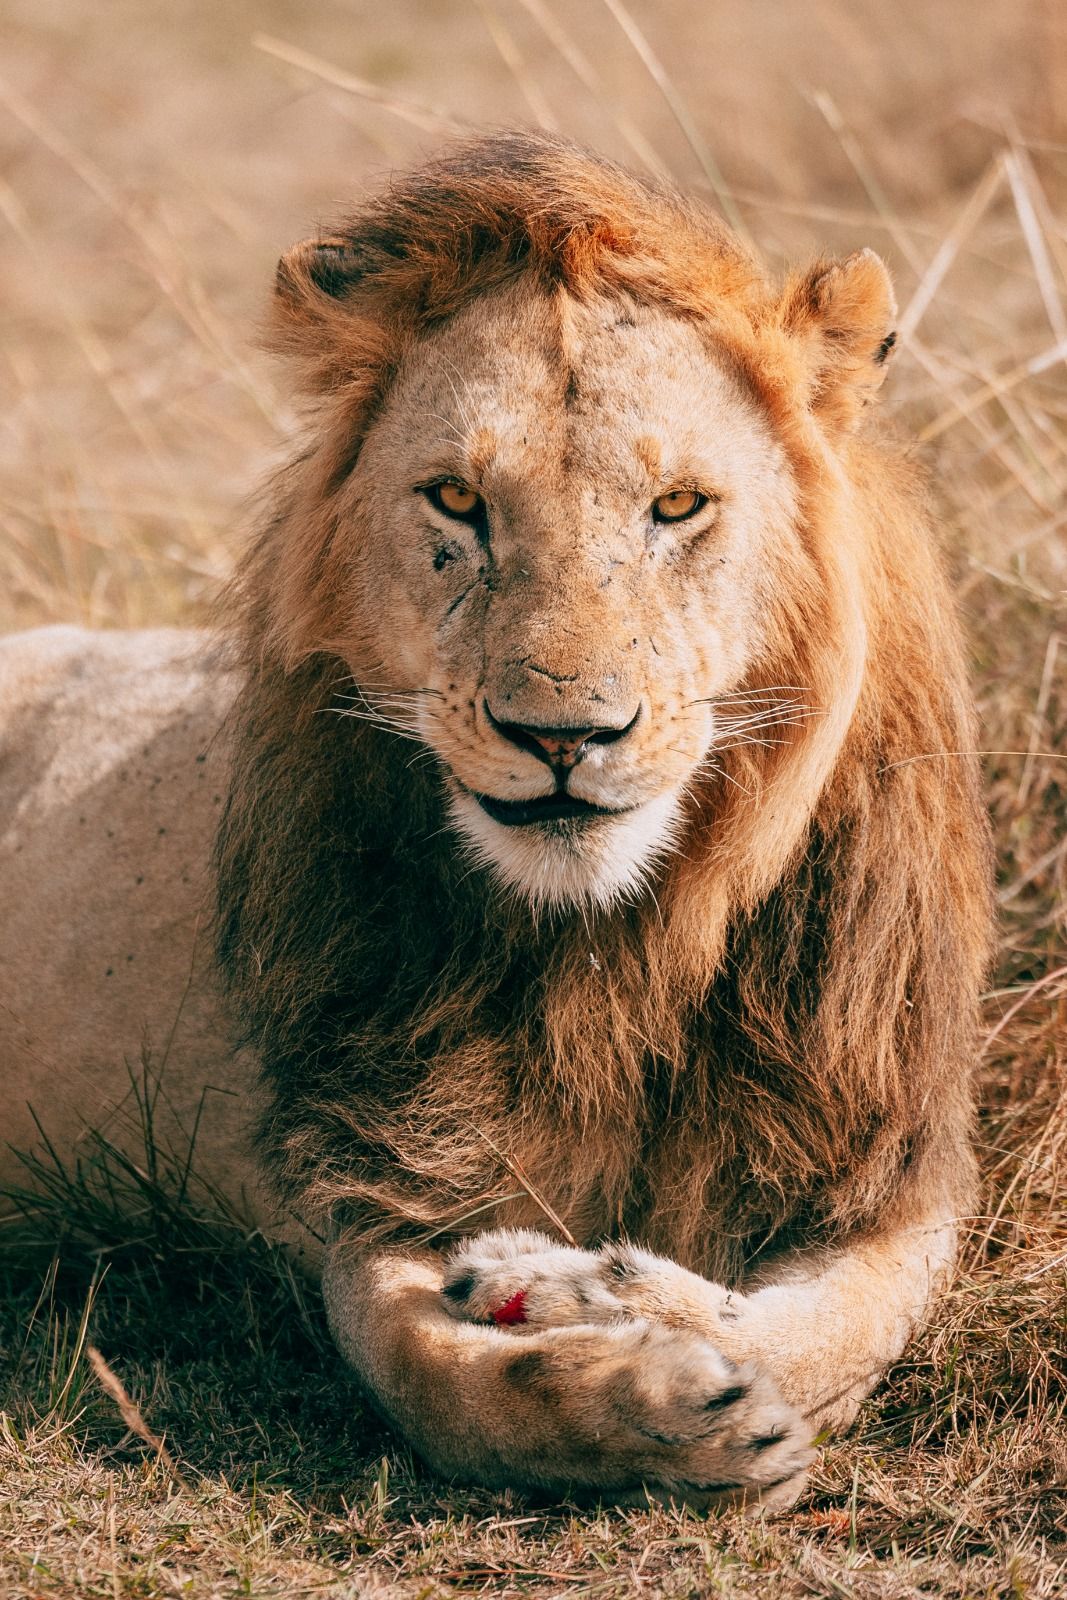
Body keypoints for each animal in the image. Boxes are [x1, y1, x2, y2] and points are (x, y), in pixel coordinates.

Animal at [0, 133, 993, 1511]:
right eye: (456, 500)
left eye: (677, 506)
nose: (563, 735)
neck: (617, 947)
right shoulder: (376, 1161)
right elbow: (436, 1381)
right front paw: (638, 1399)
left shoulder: (887, 1169)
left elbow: (814, 1334)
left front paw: (590, 1292)